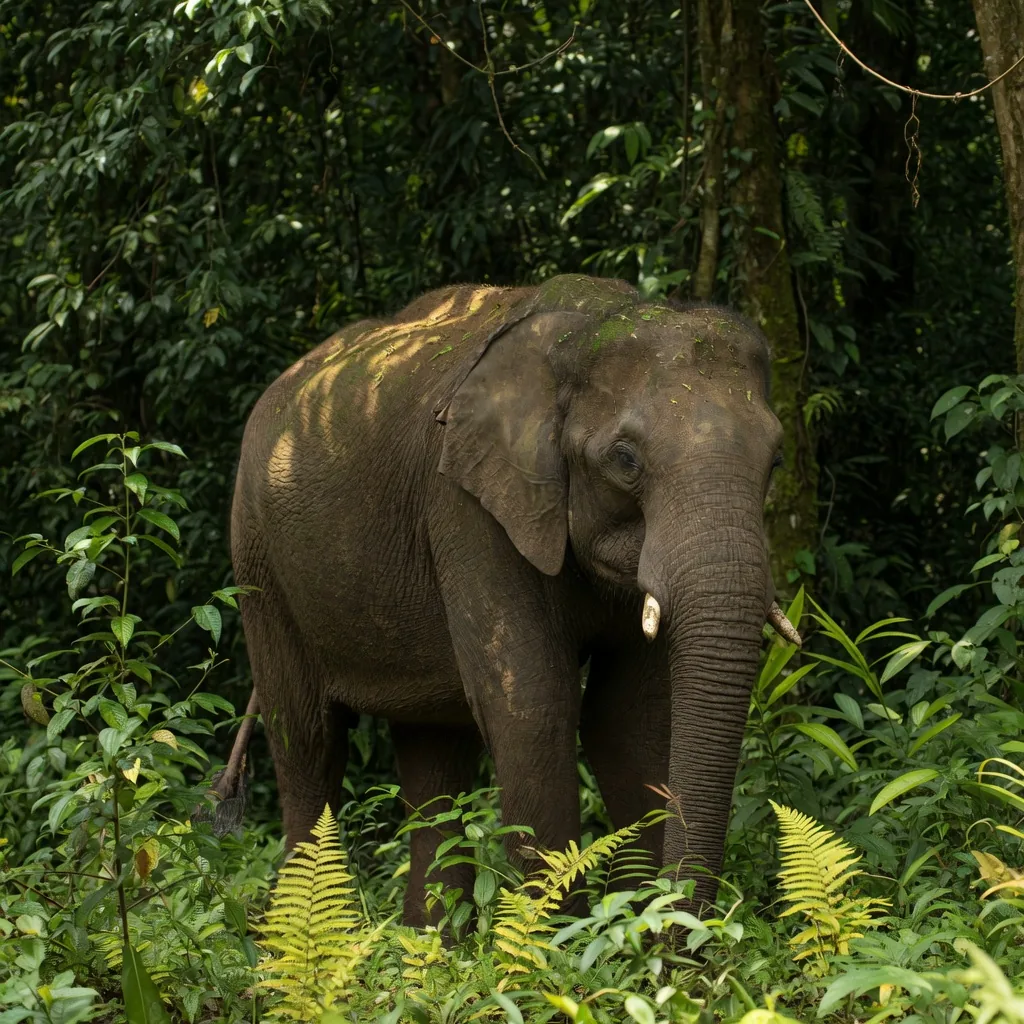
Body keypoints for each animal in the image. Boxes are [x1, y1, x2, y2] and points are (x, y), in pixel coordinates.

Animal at [222, 273, 800, 926]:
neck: (594, 323)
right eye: (625, 459)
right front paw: (563, 941)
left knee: (433, 751)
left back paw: (427, 945)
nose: (676, 934)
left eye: (777, 459)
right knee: (308, 740)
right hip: (259, 561)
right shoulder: (465, 506)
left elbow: (629, 717)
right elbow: (530, 703)